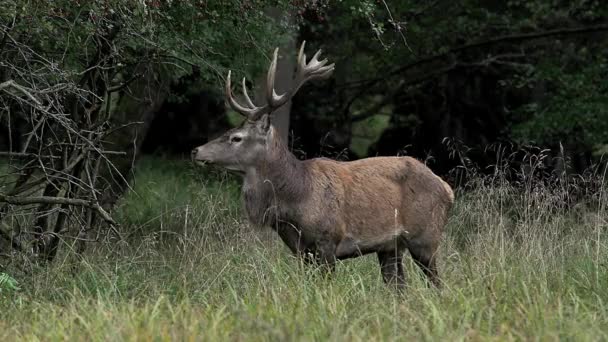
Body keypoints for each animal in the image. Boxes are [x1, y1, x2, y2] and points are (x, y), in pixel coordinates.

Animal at [192, 41, 454, 286]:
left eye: (237, 138)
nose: (196, 150)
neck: (297, 197)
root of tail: (448, 189)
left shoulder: (328, 240)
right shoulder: (299, 249)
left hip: (425, 237)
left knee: (437, 284)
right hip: (390, 247)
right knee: (399, 287)